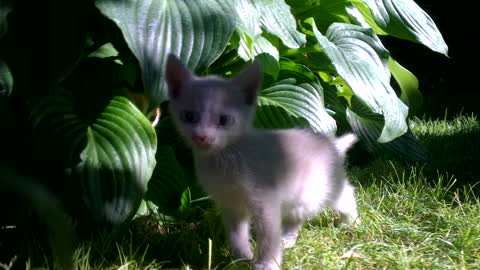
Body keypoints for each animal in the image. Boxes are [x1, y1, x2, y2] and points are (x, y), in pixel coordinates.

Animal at [166, 54, 360, 270]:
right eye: (189, 116)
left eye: (224, 120)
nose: (201, 137)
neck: (225, 158)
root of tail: (332, 144)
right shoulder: (230, 204)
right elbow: (236, 235)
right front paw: (241, 258)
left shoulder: (266, 201)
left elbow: (268, 236)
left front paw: (266, 263)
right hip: (299, 196)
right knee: (297, 215)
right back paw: (288, 237)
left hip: (324, 188)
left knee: (345, 194)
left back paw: (349, 221)